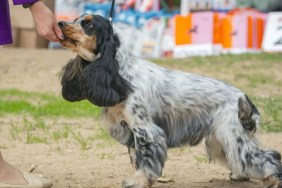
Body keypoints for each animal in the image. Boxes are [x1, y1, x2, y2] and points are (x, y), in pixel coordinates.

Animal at [57, 13, 282, 187]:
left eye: (88, 23)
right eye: (76, 19)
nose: (60, 23)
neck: (121, 74)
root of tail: (241, 96)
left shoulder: (146, 130)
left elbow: (145, 160)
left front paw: (139, 182)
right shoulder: (130, 131)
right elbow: (136, 159)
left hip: (231, 134)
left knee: (266, 157)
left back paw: (271, 179)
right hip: (220, 138)